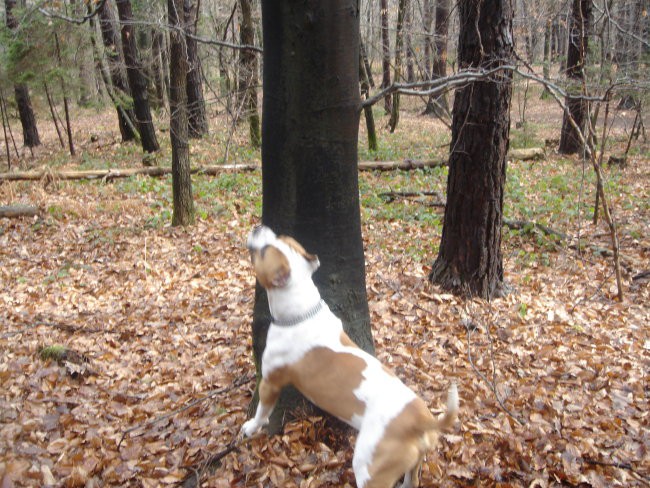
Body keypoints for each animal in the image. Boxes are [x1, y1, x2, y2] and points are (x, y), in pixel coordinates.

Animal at [240, 227, 458, 486]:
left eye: (264, 251)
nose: (258, 228)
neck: (301, 312)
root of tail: (421, 420)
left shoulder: (270, 382)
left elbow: (262, 410)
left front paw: (252, 426)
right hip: (414, 462)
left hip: (370, 469)